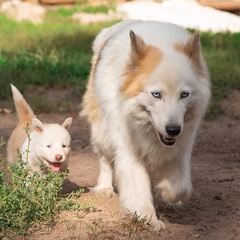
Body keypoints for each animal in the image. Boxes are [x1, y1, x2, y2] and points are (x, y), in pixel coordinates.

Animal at [80, 20, 210, 231]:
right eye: (156, 95)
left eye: (184, 95)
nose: (173, 130)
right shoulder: (129, 150)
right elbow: (138, 187)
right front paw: (148, 218)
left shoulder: (182, 147)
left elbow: (180, 186)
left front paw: (166, 193)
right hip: (103, 134)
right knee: (105, 161)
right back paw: (105, 188)